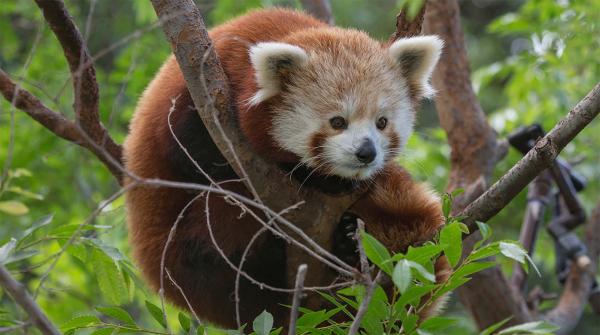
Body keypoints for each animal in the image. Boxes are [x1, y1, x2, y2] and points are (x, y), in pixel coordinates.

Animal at [124, 7, 448, 328]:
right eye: (337, 122)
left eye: (382, 122)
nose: (366, 153)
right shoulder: (194, 102)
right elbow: (199, 158)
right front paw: (315, 176)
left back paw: (348, 245)